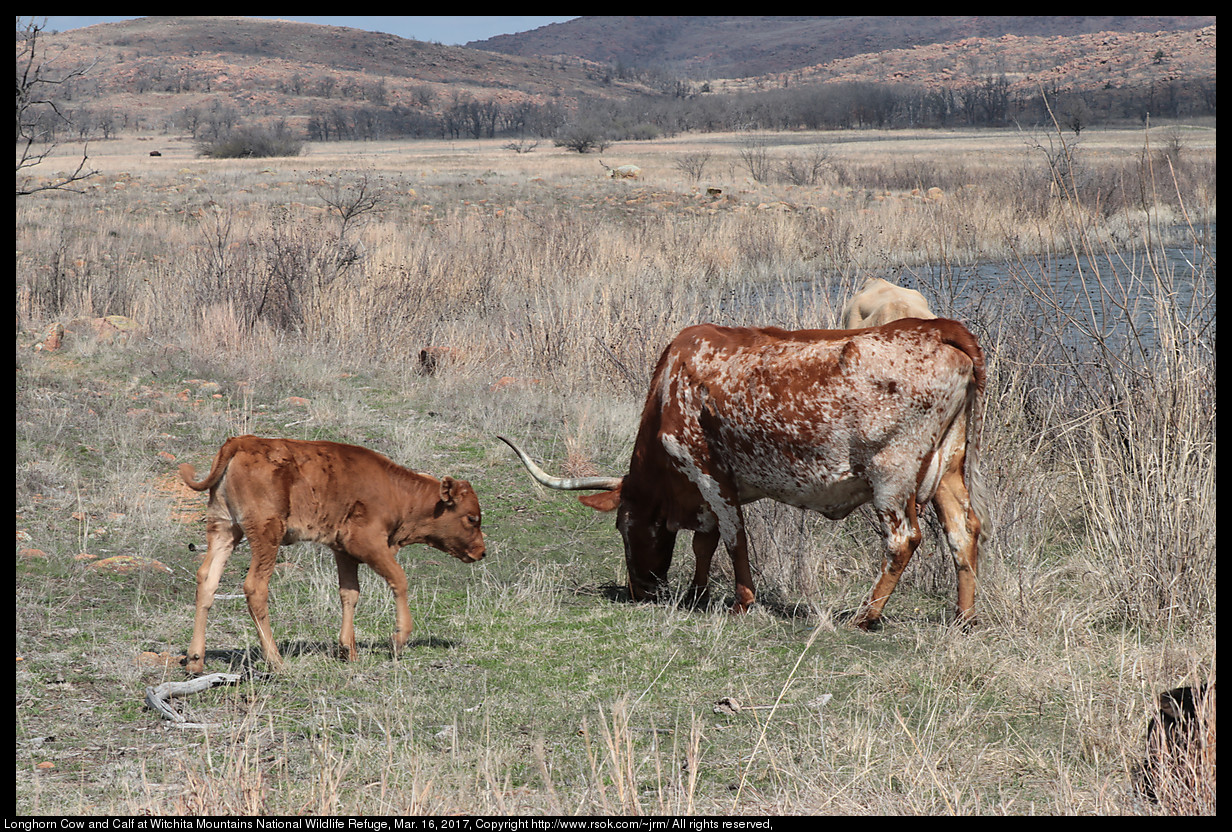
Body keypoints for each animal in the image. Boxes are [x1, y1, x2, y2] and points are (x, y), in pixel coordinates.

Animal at [179, 438, 485, 675]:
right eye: (472, 518)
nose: (481, 551)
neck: (395, 491)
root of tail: (242, 442)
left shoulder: (343, 552)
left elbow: (349, 593)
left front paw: (347, 650)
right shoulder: (368, 544)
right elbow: (399, 579)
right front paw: (399, 639)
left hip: (224, 529)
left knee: (207, 580)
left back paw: (195, 661)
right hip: (267, 535)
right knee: (255, 587)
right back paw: (276, 661)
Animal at [500, 318, 980, 631]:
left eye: (622, 525)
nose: (640, 591)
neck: (671, 384)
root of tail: (939, 328)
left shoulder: (707, 471)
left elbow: (733, 538)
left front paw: (742, 602)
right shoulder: (709, 489)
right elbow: (705, 541)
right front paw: (696, 593)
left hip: (891, 475)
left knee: (903, 540)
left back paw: (866, 616)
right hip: (949, 466)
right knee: (963, 532)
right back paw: (964, 618)